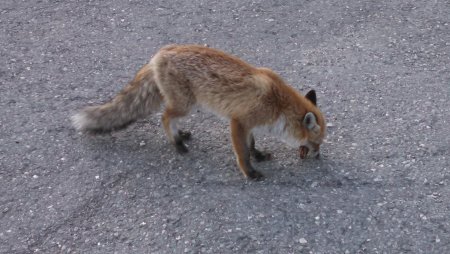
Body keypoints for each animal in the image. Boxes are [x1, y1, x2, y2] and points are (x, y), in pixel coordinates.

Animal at [73, 44, 326, 180]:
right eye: (317, 142)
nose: (318, 157)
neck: (278, 104)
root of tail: (161, 52)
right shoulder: (238, 122)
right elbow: (242, 153)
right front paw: (249, 172)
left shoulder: (248, 123)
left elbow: (252, 144)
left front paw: (259, 155)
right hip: (185, 105)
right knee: (164, 117)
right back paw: (177, 143)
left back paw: (181, 135)